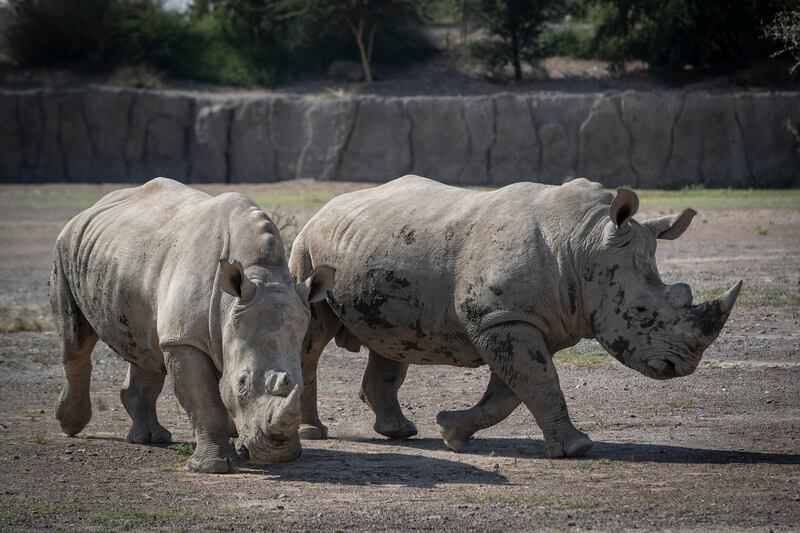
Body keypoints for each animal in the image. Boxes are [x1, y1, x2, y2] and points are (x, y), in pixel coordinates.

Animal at [52, 177, 334, 472]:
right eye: (242, 383)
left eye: (299, 385)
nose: (275, 455)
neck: (259, 274)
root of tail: (91, 208)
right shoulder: (184, 339)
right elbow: (204, 401)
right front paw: (213, 467)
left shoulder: (201, 332)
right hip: (66, 247)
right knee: (75, 341)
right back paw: (70, 426)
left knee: (146, 349)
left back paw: (152, 438)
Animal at [290, 176, 740, 458]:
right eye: (642, 312)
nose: (683, 366)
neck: (584, 243)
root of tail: (325, 208)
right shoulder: (503, 318)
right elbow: (539, 384)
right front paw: (578, 449)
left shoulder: (521, 319)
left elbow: (512, 391)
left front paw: (451, 431)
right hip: (308, 250)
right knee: (311, 339)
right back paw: (313, 432)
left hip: (376, 250)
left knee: (391, 341)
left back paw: (400, 431)